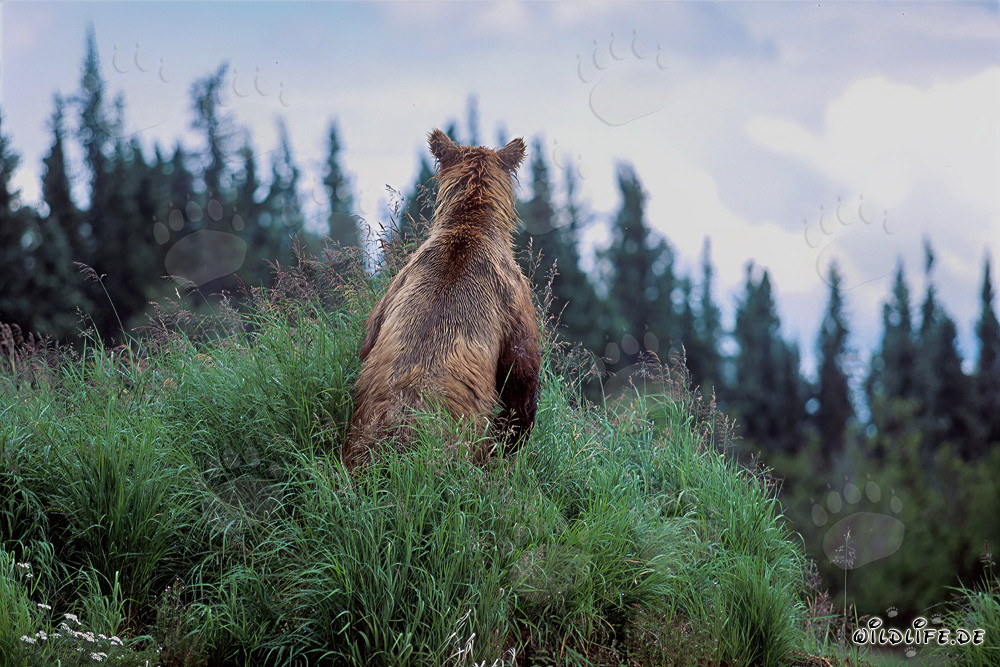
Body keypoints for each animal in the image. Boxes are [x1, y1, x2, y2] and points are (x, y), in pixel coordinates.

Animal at [341, 129, 541, 473]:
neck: (468, 228)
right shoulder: (512, 300)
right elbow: (521, 377)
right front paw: (514, 438)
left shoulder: (396, 286)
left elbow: (367, 341)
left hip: (363, 433)